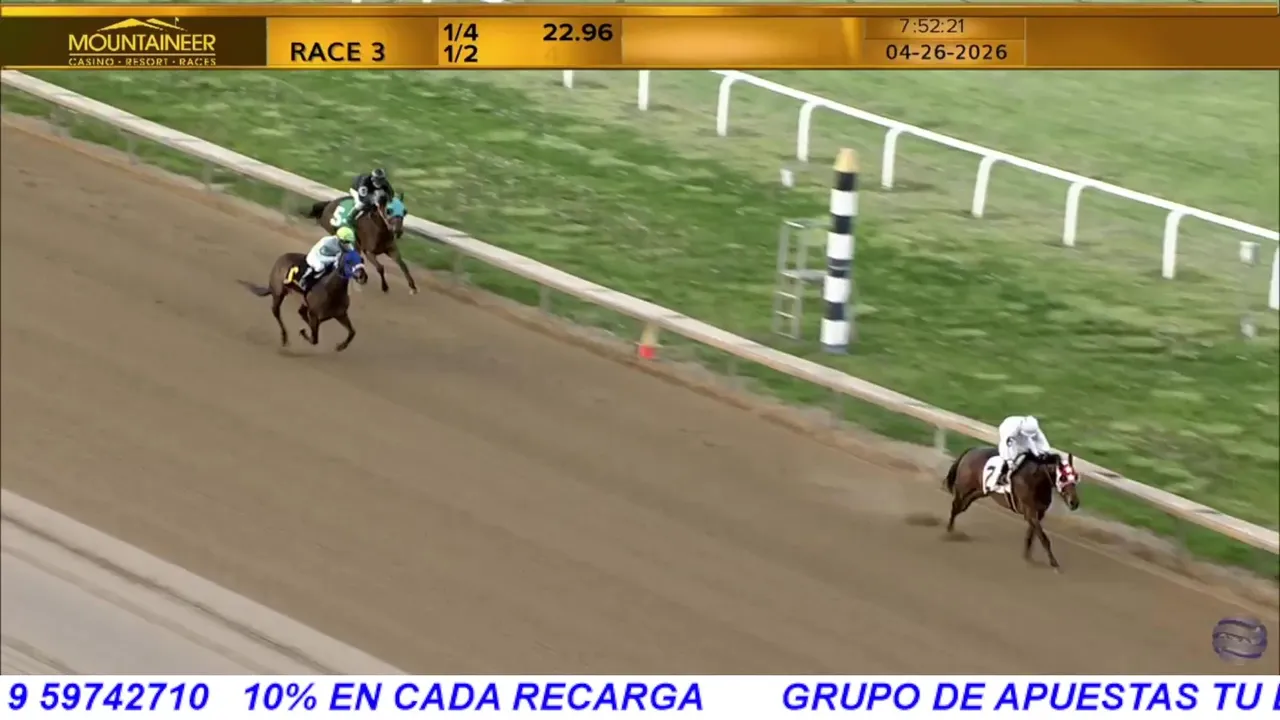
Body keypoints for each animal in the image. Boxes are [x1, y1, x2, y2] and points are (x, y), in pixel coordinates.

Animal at [943, 447, 1081, 571]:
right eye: (1063, 477)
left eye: (1075, 476)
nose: (1074, 503)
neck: (1036, 480)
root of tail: (971, 451)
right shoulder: (1030, 512)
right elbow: (1044, 538)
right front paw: (1054, 563)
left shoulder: (1039, 513)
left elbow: (1032, 535)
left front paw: (1027, 556)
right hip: (963, 488)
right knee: (955, 506)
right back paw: (949, 531)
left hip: (978, 492)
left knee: (962, 507)